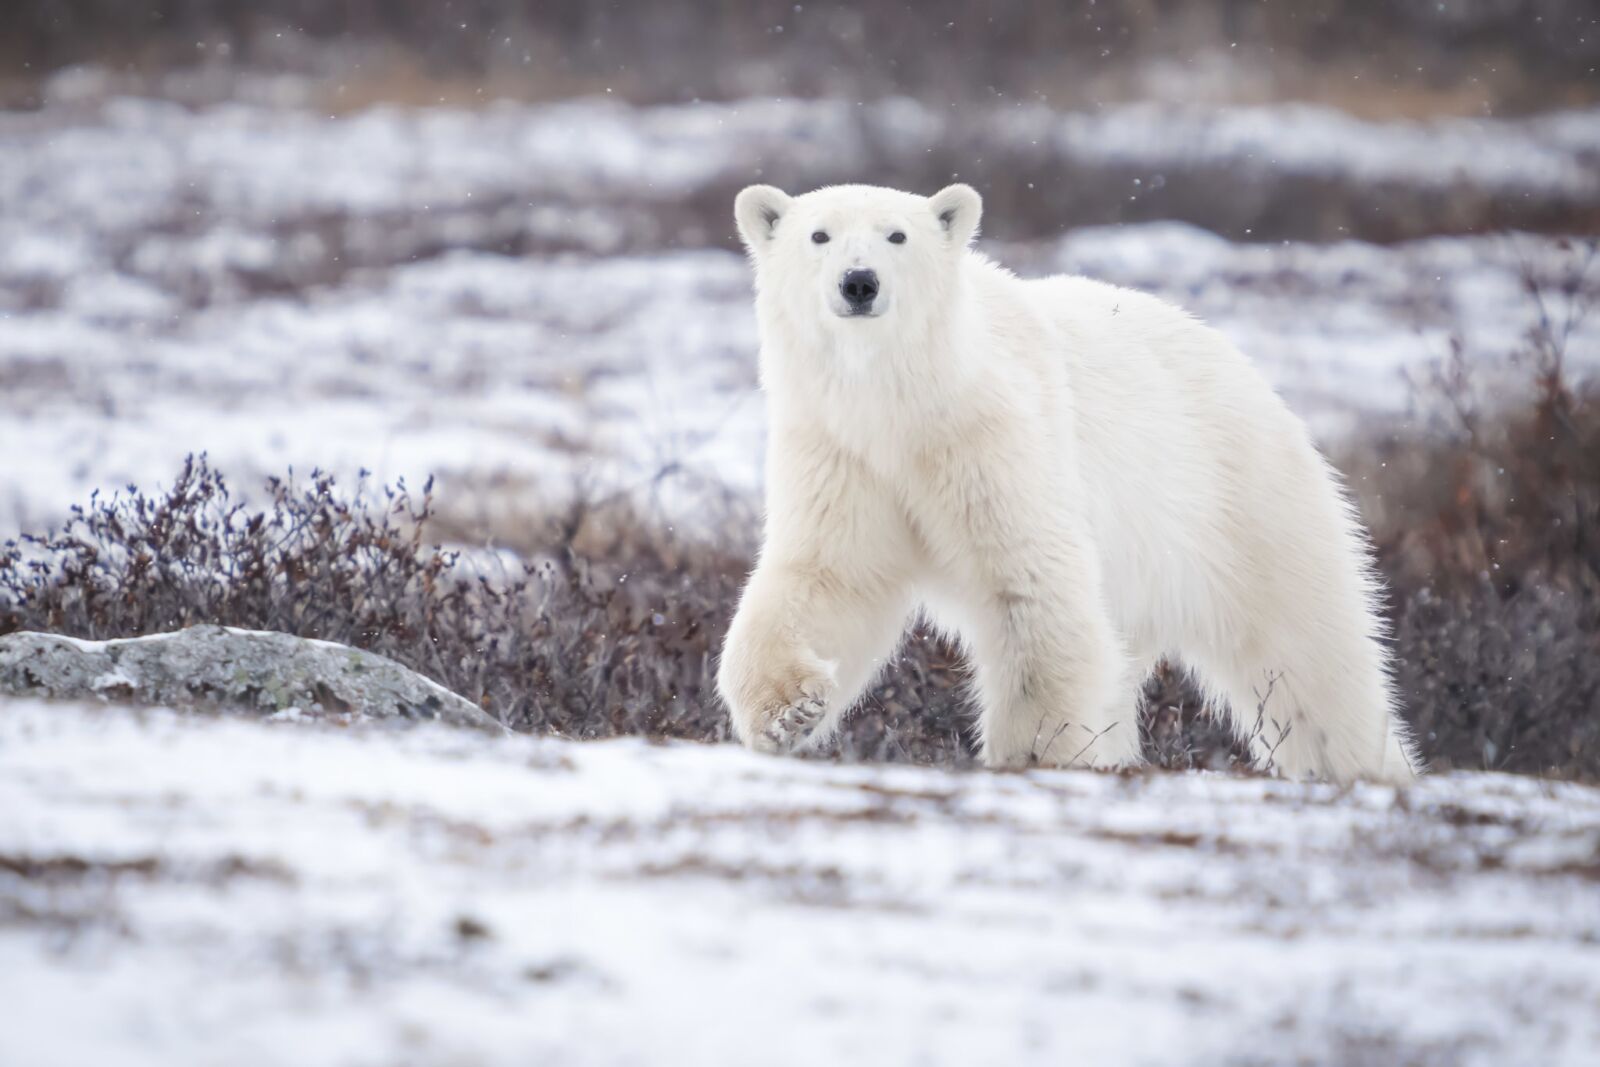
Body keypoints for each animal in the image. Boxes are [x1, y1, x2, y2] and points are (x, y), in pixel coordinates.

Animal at [720, 185, 1420, 783]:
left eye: (897, 235)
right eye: (818, 235)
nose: (859, 281)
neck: (904, 406)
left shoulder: (990, 439)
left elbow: (1032, 584)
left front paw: (1035, 751)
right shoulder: (841, 450)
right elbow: (828, 578)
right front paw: (788, 712)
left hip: (1243, 499)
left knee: (1310, 650)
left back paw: (1363, 767)